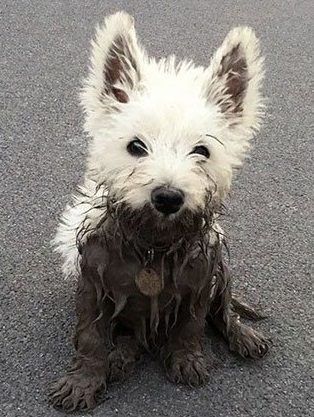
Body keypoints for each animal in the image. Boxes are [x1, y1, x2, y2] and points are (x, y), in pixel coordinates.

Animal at [49, 11, 272, 412]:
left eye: (202, 151)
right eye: (136, 146)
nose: (168, 197)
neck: (153, 243)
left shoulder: (201, 279)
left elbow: (192, 324)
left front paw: (187, 358)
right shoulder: (92, 286)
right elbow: (91, 337)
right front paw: (84, 380)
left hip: (224, 272)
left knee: (224, 310)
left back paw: (242, 334)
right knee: (130, 337)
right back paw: (121, 358)